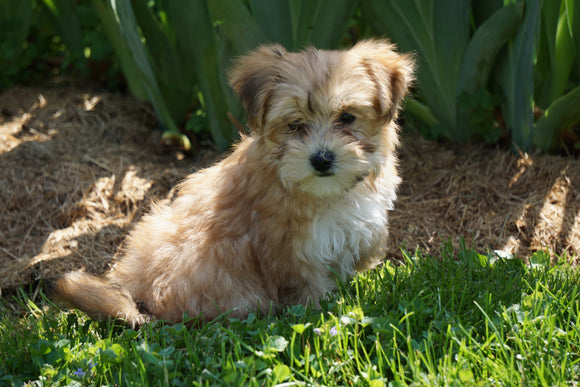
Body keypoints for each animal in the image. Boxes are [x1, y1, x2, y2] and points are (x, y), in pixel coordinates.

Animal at [48, 39, 412, 326]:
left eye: (347, 118)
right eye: (295, 125)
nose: (322, 158)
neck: (327, 193)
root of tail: (140, 300)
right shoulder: (290, 249)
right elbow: (307, 286)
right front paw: (322, 307)